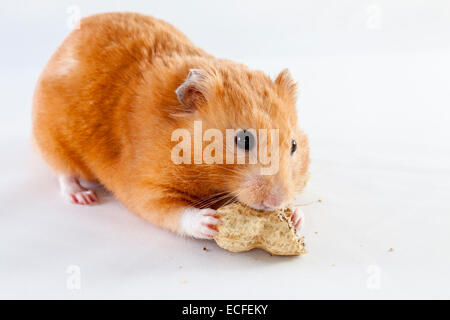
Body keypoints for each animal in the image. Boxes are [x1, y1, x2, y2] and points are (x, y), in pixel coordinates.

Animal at [32, 11, 310, 238]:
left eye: (294, 146)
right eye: (243, 140)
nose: (274, 202)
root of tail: (67, 40)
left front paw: (296, 217)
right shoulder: (146, 186)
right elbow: (171, 212)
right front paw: (211, 222)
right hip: (52, 137)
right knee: (64, 172)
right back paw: (83, 196)